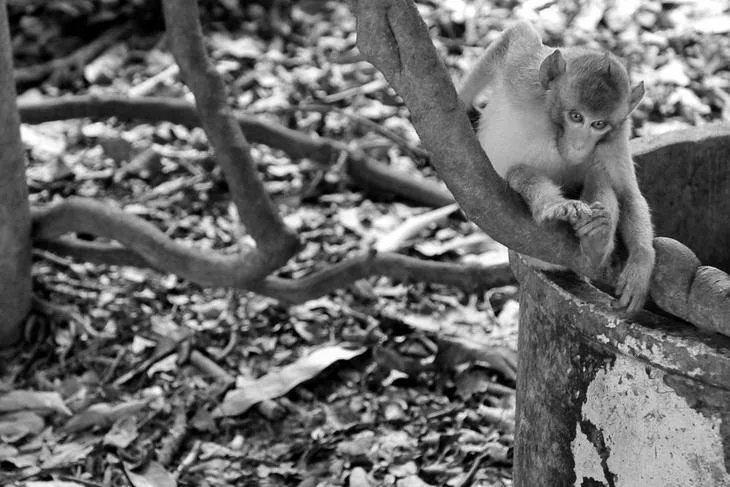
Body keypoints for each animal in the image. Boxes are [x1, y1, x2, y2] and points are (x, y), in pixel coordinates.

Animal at [459, 21, 654, 313]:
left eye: (599, 124)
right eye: (576, 116)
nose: (579, 146)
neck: (551, 124)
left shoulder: (616, 134)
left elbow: (627, 192)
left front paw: (642, 262)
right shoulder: (524, 77)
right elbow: (515, 36)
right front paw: (459, 103)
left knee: (598, 173)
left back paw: (596, 240)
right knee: (519, 173)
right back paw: (554, 207)